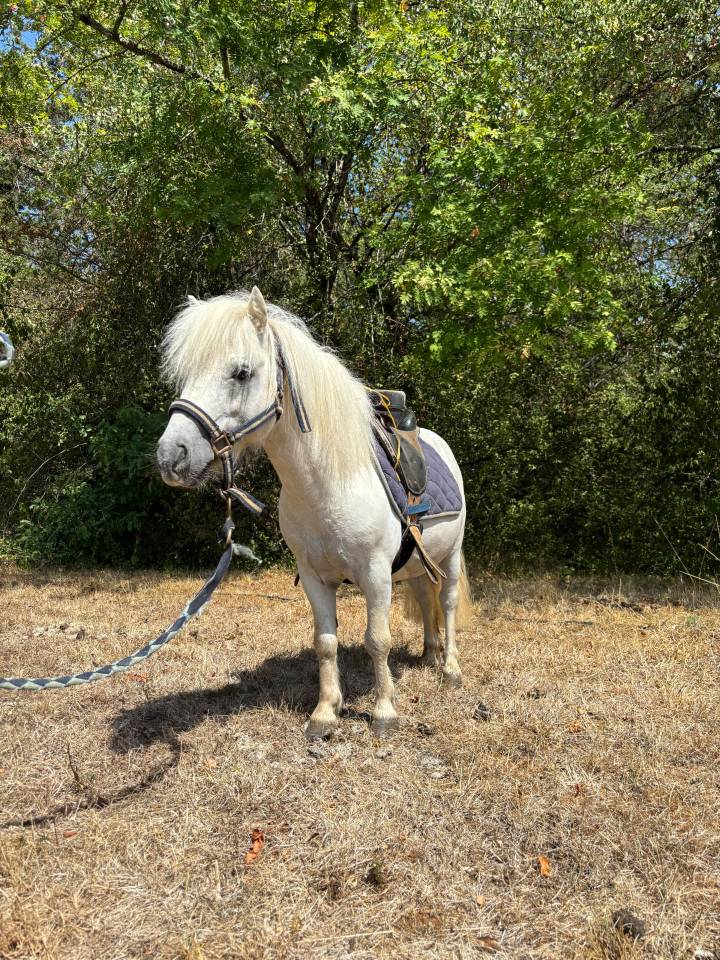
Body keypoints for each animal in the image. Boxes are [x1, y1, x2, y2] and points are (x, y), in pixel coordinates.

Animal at [156, 288, 471, 737]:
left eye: (241, 373)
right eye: (185, 374)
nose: (171, 456)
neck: (328, 484)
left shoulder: (375, 574)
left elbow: (378, 639)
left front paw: (384, 712)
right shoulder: (312, 577)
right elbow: (325, 642)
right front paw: (325, 712)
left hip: (452, 554)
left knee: (445, 602)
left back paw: (449, 668)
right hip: (417, 562)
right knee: (426, 599)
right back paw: (429, 654)